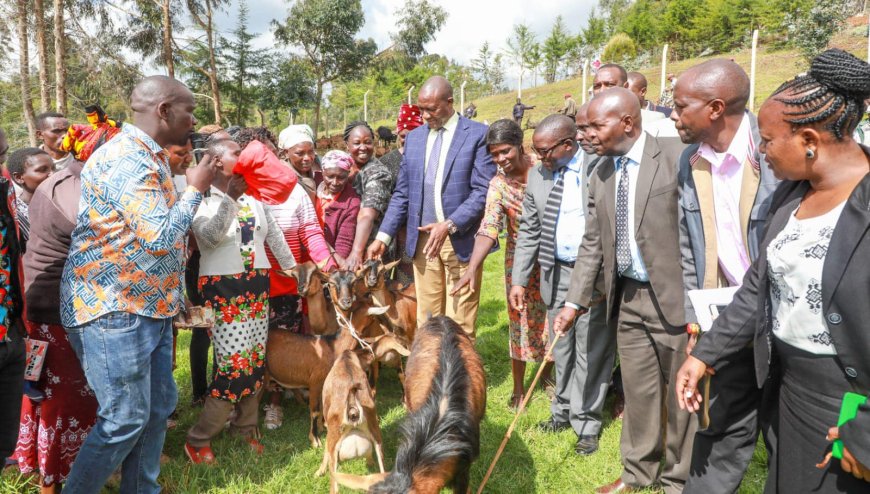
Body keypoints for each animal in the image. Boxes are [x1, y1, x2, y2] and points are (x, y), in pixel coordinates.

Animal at [316, 350, 384, 492]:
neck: (346, 360)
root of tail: (353, 409)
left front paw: (320, 471)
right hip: (376, 436)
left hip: (334, 441)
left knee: (334, 488)